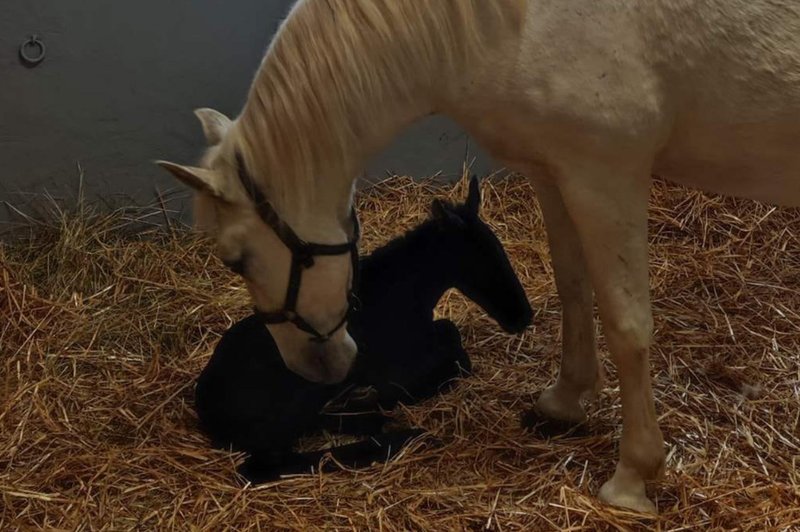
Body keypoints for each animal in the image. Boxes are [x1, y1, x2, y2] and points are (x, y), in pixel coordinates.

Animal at [159, 1, 800, 516]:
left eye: (235, 260)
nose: (314, 370)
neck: (514, 22)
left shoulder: (606, 177)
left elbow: (628, 325)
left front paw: (631, 478)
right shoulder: (556, 170)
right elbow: (573, 286)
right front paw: (564, 402)